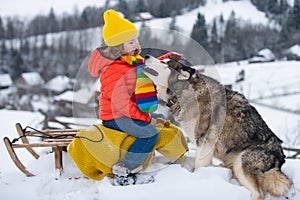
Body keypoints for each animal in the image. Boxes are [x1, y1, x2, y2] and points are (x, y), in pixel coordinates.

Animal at [144, 55, 292, 200]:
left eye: (164, 63)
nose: (146, 56)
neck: (185, 92)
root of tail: (280, 159)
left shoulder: (205, 140)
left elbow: (199, 165)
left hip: (241, 163)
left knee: (258, 193)